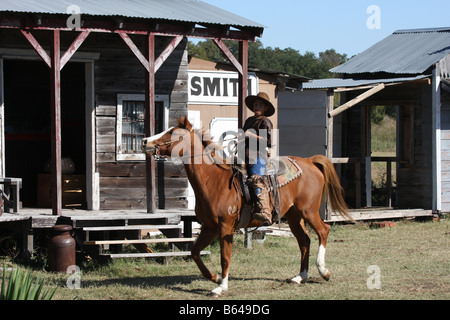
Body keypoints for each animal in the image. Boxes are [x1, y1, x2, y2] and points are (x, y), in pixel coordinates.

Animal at [142, 115, 350, 298]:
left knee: (323, 231)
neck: (214, 181)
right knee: (304, 240)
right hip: (293, 216)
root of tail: (309, 162)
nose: (145, 141)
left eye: (172, 133)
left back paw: (324, 271)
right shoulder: (209, 227)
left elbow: (225, 257)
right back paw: (300, 277)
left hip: (309, 211)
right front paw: (215, 278)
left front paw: (221, 287)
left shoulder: (225, 227)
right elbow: (194, 253)